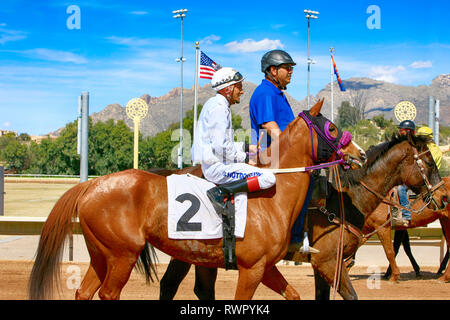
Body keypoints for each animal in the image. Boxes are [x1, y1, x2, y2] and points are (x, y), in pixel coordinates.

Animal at [27, 100, 366, 300]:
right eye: (332, 127)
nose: (360, 154)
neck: (273, 195)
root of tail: (93, 184)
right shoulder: (252, 268)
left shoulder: (267, 267)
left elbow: (293, 294)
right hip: (122, 254)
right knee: (109, 293)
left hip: (101, 254)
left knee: (84, 292)